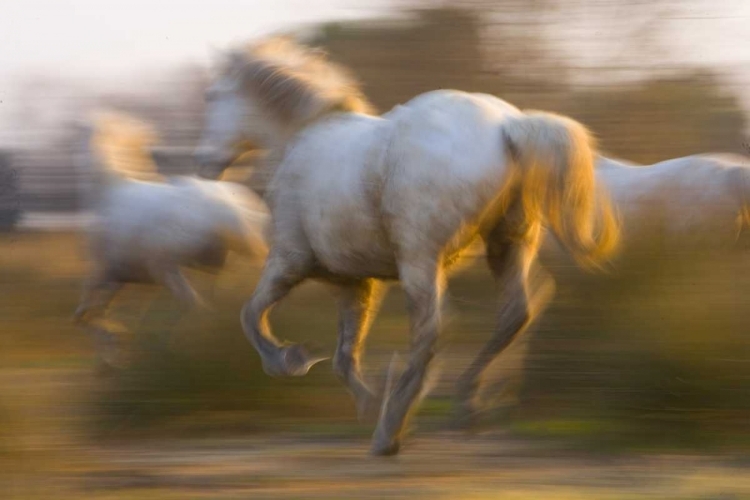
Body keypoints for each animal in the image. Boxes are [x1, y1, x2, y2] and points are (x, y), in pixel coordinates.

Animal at [72, 110, 270, 368]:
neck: (109, 193)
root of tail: (227, 208)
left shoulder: (104, 273)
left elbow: (84, 315)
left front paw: (113, 350)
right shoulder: (125, 280)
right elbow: (106, 314)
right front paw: (116, 352)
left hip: (170, 270)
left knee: (196, 305)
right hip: (212, 271)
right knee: (218, 305)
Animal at [195, 36, 624, 458]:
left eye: (213, 95)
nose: (203, 164)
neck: (301, 139)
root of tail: (508, 125)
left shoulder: (290, 262)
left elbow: (252, 316)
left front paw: (292, 360)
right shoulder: (355, 283)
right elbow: (343, 356)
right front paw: (368, 401)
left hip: (421, 260)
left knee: (433, 330)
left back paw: (392, 431)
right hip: (507, 245)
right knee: (513, 315)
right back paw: (465, 406)